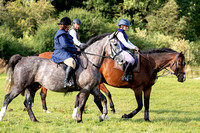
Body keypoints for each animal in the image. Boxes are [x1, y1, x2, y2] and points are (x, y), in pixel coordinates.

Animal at [36, 47, 186, 121]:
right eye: (180, 62)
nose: (183, 78)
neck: (149, 65)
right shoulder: (137, 88)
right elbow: (140, 105)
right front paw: (126, 116)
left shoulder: (148, 88)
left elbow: (147, 105)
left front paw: (147, 119)